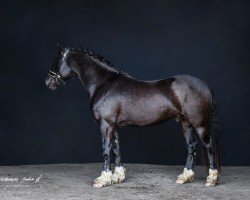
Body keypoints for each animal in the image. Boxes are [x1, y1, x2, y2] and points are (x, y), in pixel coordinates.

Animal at [45, 44, 221, 188]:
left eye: (56, 60)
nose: (48, 82)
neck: (104, 83)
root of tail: (206, 86)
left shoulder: (105, 124)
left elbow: (106, 149)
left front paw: (103, 179)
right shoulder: (114, 125)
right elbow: (116, 148)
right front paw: (117, 177)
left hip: (200, 124)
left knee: (209, 147)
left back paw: (211, 179)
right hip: (185, 123)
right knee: (192, 146)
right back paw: (184, 177)